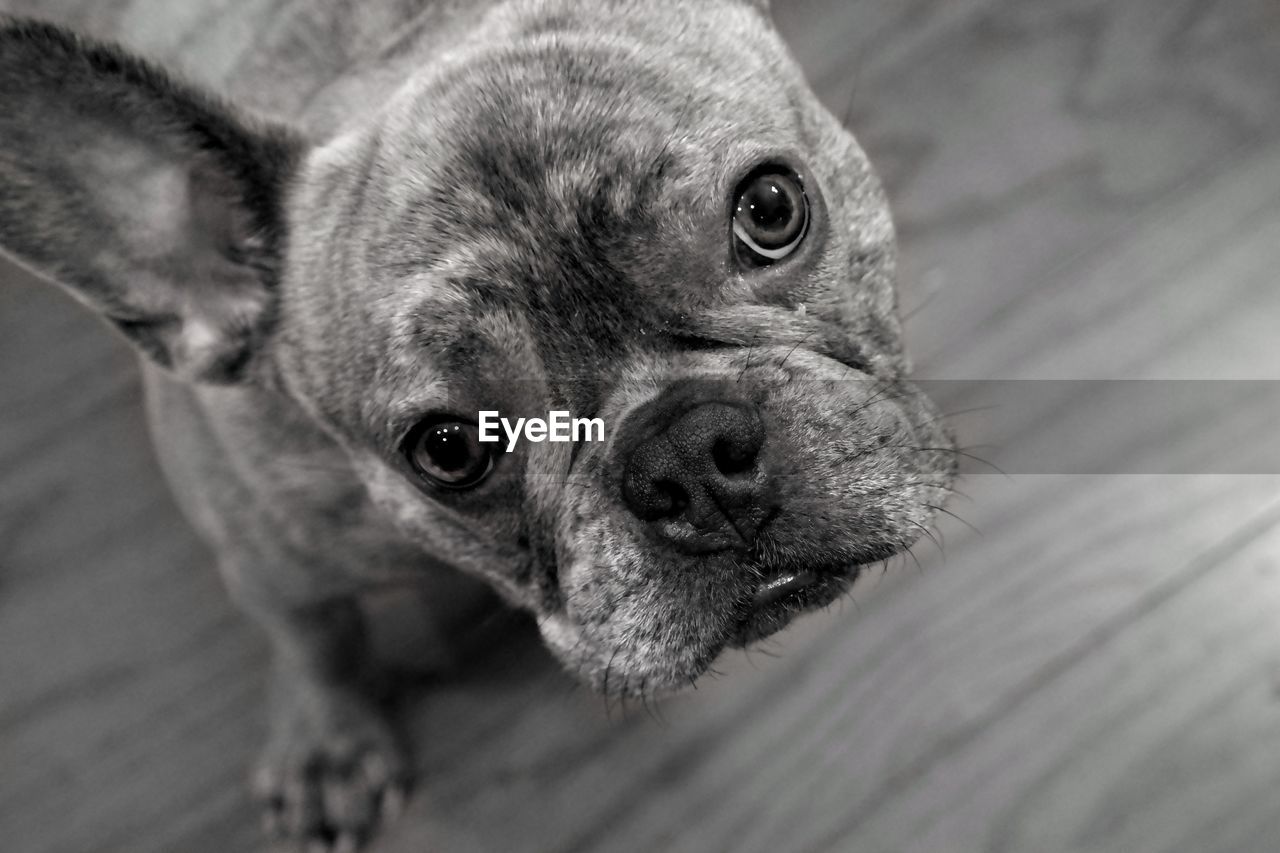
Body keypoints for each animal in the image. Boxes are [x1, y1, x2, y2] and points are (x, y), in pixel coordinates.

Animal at [0, 0, 952, 845]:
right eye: (450, 449)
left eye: (771, 208)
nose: (687, 456)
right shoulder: (265, 551)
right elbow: (312, 632)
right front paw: (328, 738)